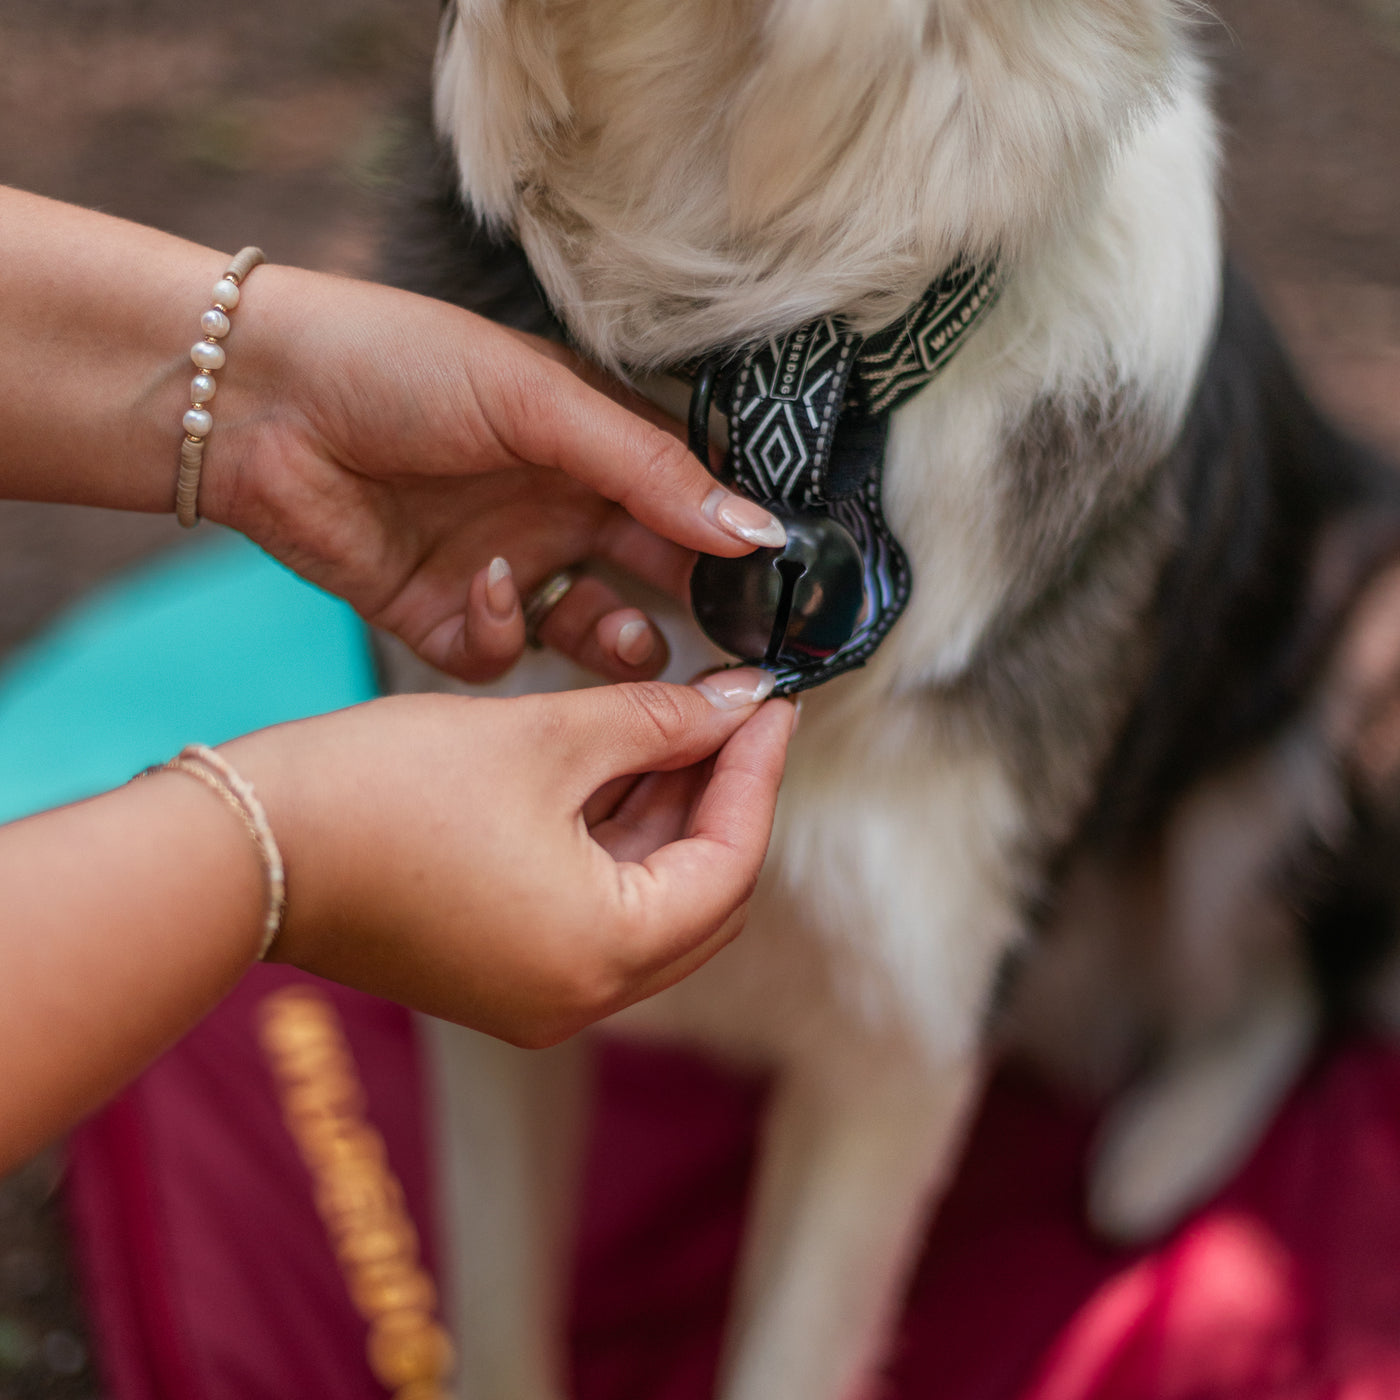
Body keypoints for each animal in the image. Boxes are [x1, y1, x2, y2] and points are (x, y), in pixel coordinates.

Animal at [378, 5, 1400, 1394]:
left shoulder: (898, 1046)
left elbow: (795, 1345)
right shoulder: (495, 957)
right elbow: (496, 1311)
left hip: (1366, 634)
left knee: (1298, 978)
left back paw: (1157, 1154)